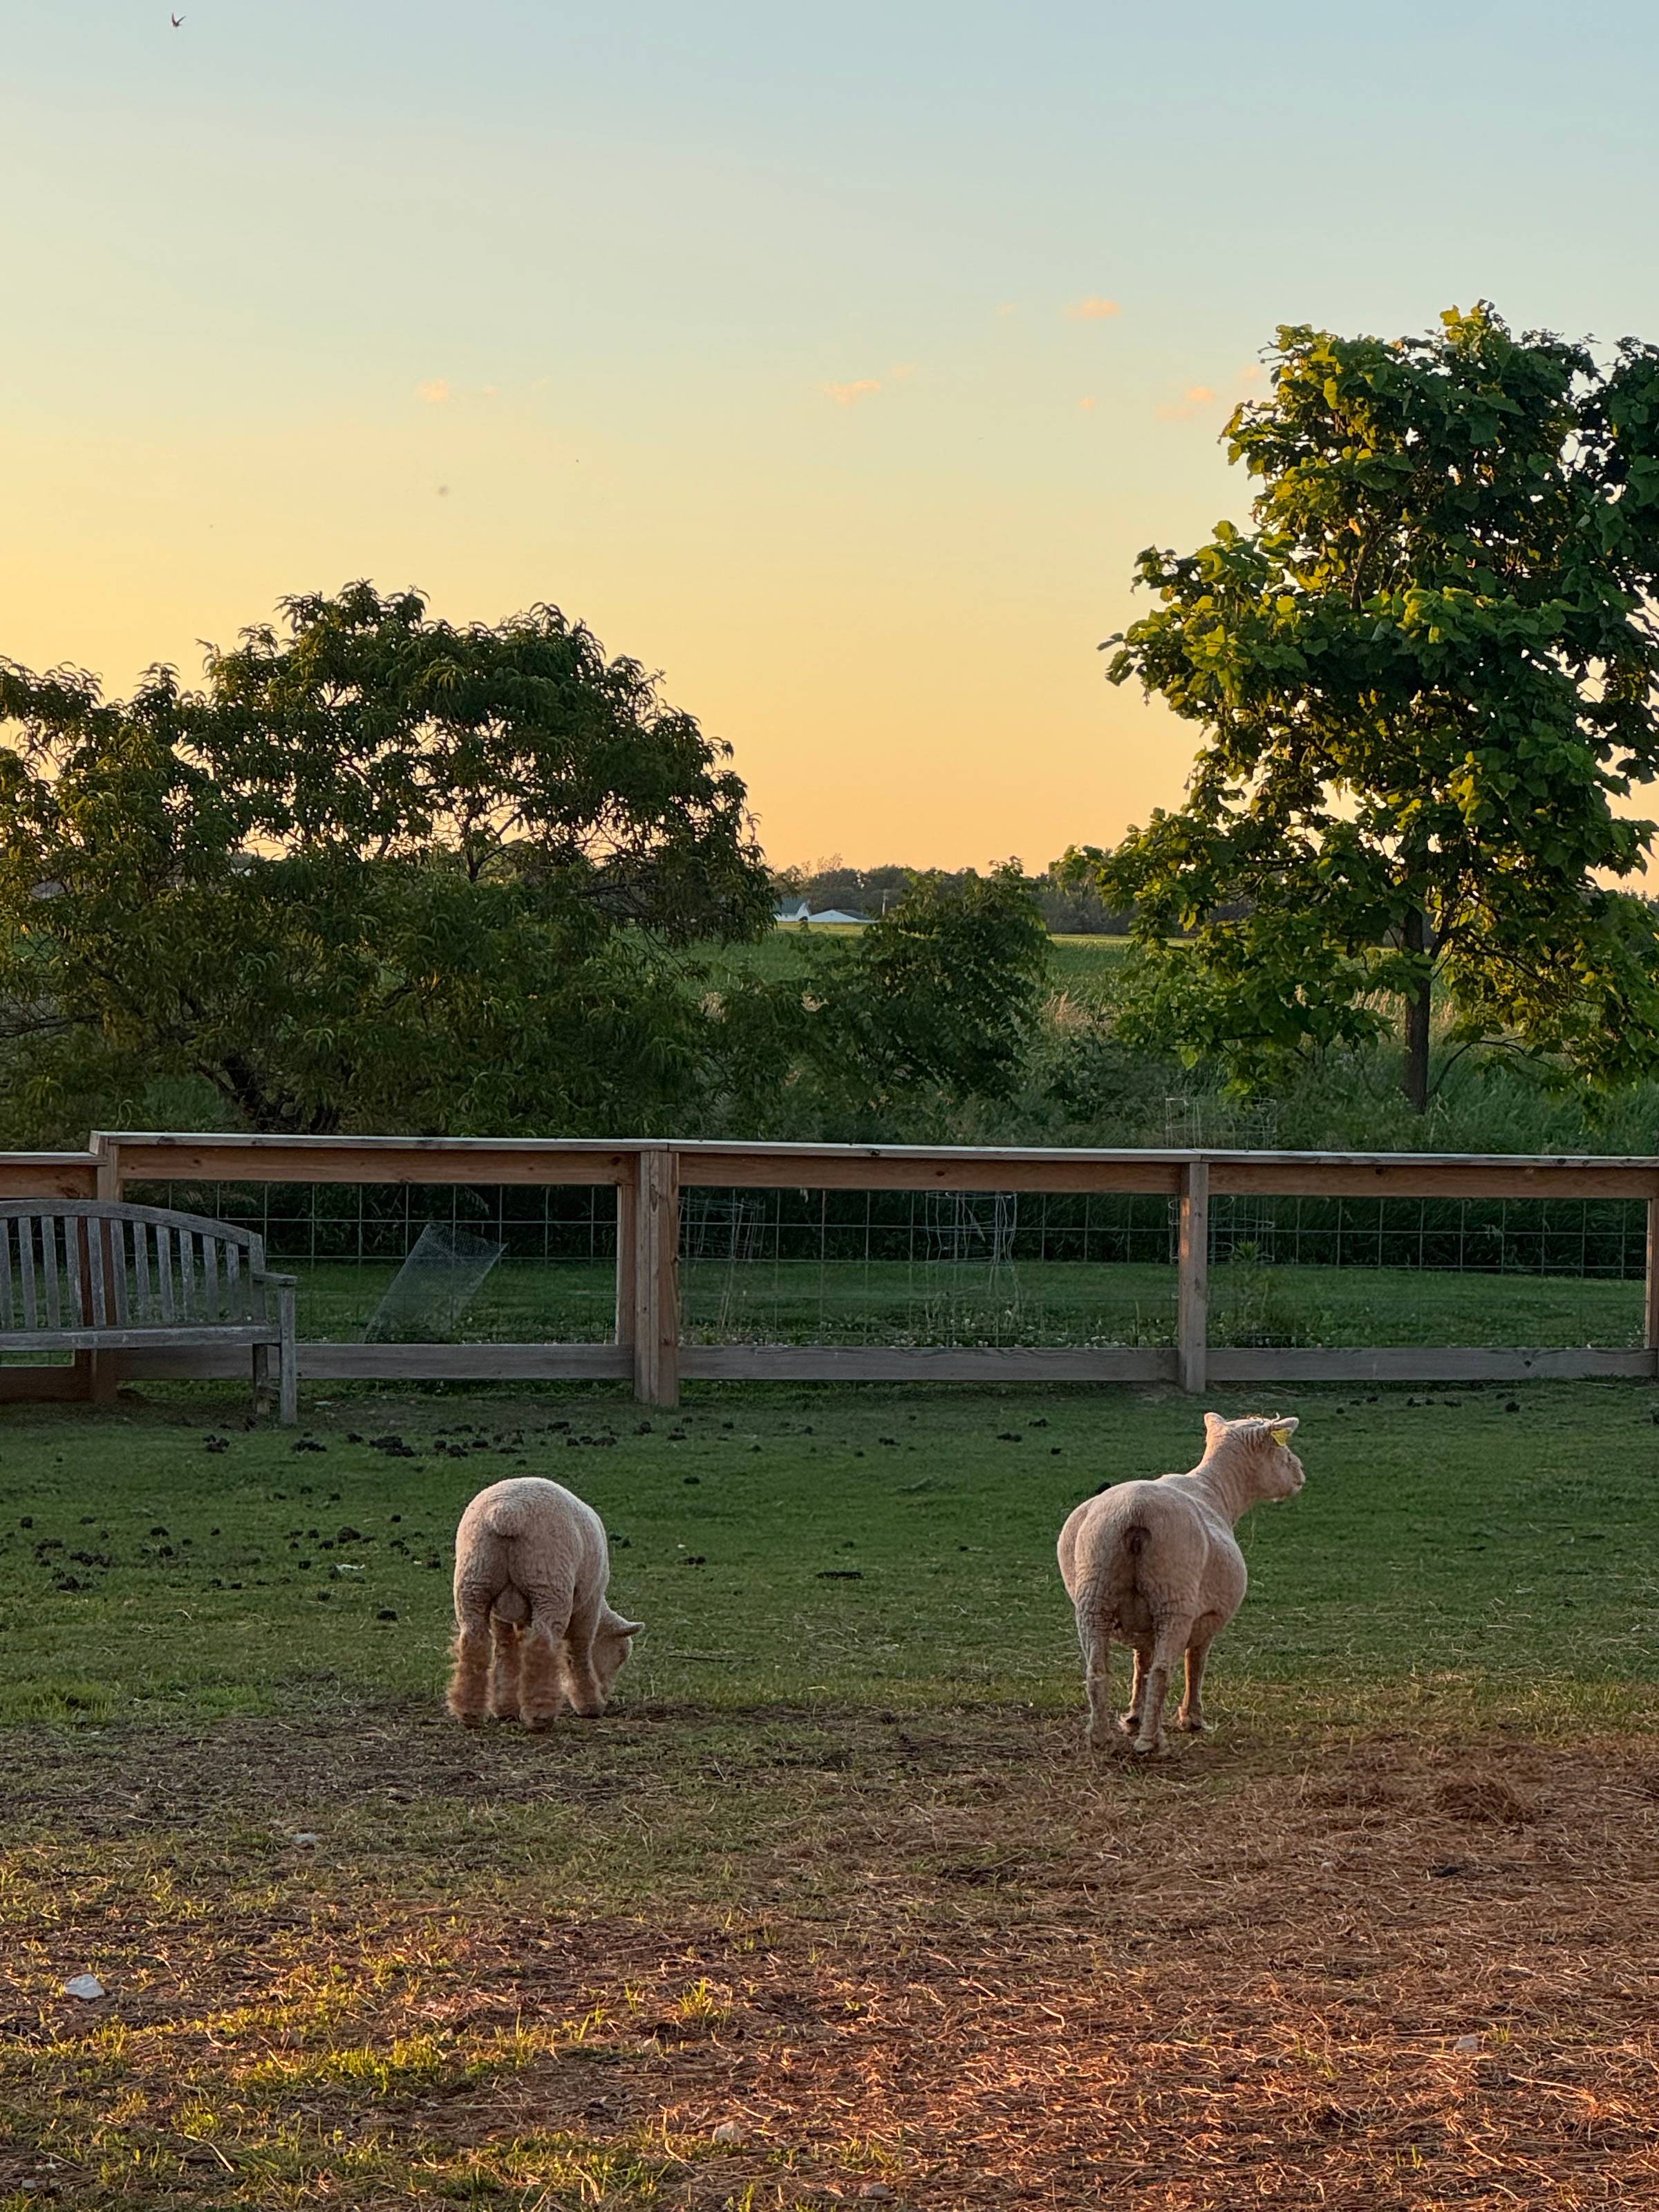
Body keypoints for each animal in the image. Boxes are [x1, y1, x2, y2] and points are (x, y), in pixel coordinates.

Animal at [447, 1476, 642, 1728]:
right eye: (620, 1655)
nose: (607, 1694)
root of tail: (508, 1513)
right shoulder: (589, 1604)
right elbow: (578, 1651)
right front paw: (590, 1705)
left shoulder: (502, 1616)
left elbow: (507, 1652)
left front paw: (507, 1709)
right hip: (549, 1582)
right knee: (542, 1643)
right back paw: (541, 1715)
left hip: (474, 1579)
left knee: (475, 1640)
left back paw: (469, 1713)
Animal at [1057, 1412, 1304, 1756]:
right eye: (1281, 1448)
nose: (1300, 1471)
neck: (1217, 1490)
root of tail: (1135, 1513)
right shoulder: (1208, 1619)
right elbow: (1194, 1666)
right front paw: (1192, 1719)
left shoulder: (1143, 1629)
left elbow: (1141, 1666)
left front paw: (1133, 1716)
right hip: (1174, 1599)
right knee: (1164, 1670)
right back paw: (1150, 1742)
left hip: (1094, 1593)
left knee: (1097, 1668)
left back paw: (1100, 1736)